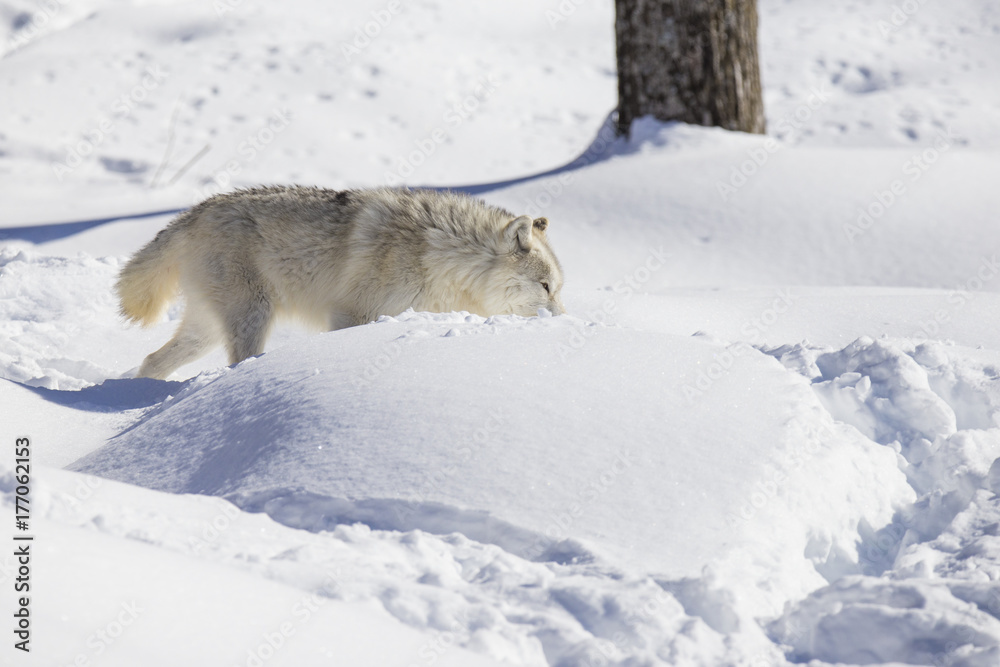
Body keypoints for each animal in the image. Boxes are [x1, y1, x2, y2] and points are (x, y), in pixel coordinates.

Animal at [117, 186, 565, 379]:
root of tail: (194, 212)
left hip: (205, 332)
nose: (563, 320)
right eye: (546, 288)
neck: (439, 254)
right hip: (252, 319)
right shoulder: (350, 317)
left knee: (151, 362)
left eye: (558, 290)